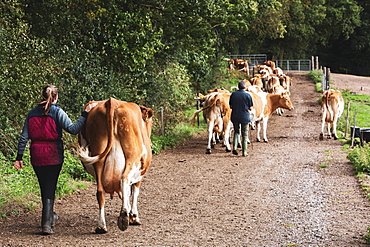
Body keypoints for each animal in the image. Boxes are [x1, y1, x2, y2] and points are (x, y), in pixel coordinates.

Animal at [78, 97, 153, 233]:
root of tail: (111, 101)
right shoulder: (140, 174)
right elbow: (134, 191)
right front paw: (134, 216)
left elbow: (127, 192)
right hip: (132, 156)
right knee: (124, 178)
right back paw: (123, 217)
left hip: (99, 157)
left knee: (100, 191)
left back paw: (101, 226)